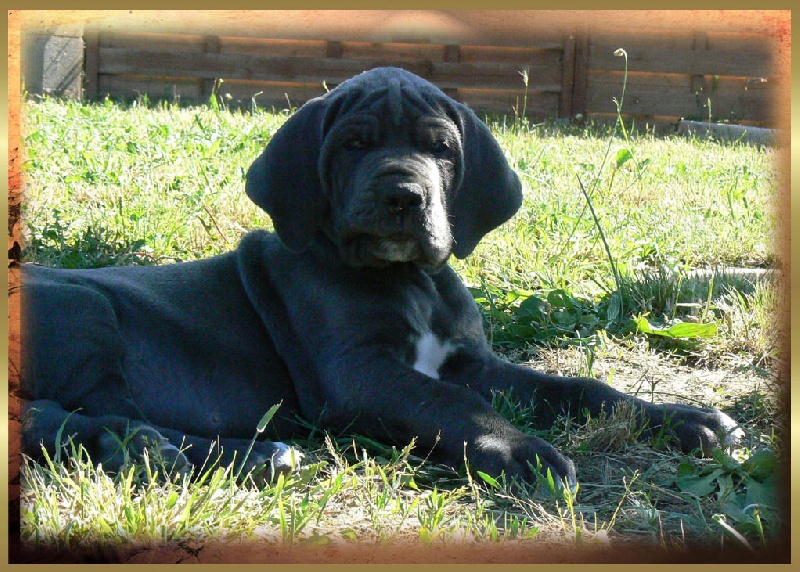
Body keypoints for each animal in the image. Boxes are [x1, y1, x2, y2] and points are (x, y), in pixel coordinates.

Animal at [20, 67, 742, 489]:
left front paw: (685, 420)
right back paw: (231, 455)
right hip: (85, 310)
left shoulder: (472, 363)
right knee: (81, 421)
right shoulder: (358, 372)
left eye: (441, 149)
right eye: (354, 144)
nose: (403, 196)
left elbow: (579, 387)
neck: (409, 280)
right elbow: (452, 407)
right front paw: (525, 453)